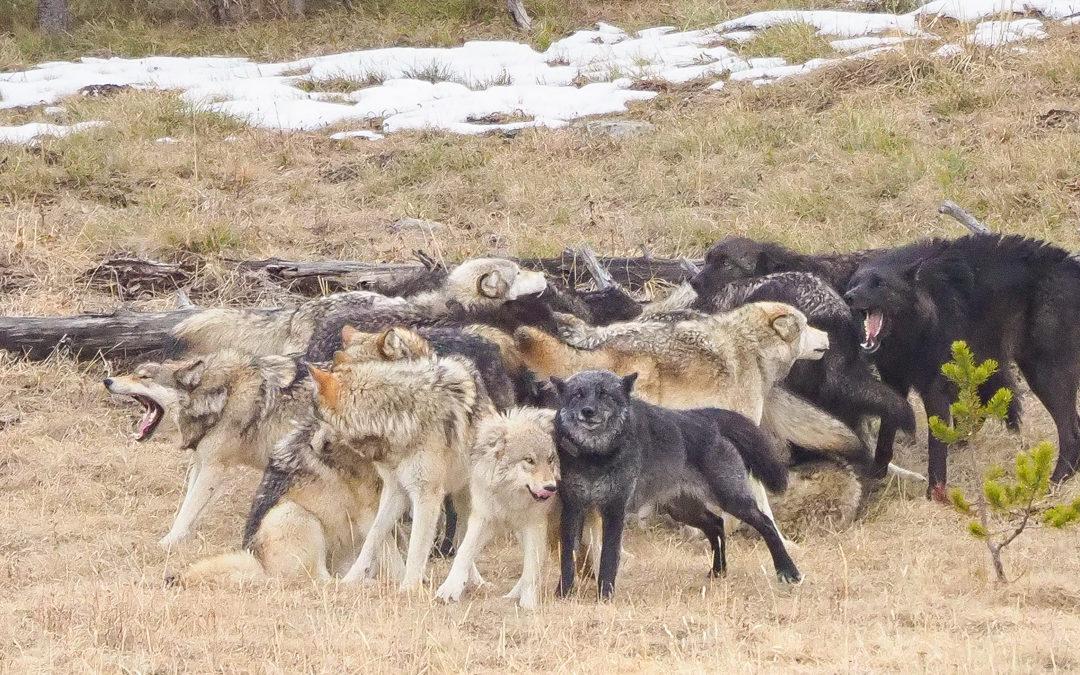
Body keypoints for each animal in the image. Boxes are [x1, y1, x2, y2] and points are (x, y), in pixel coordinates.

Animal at [308, 352, 494, 587]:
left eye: (316, 419)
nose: (310, 445)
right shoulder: (395, 490)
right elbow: (373, 536)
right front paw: (350, 579)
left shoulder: (426, 495)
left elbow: (416, 548)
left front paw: (408, 588)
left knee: (467, 540)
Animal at [552, 369, 799, 600]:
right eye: (577, 394)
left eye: (605, 394)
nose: (587, 411)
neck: (594, 457)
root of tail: (706, 418)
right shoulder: (573, 509)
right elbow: (567, 558)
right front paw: (563, 594)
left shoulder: (614, 510)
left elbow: (609, 559)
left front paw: (604, 595)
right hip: (683, 510)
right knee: (717, 524)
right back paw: (718, 571)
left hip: (732, 500)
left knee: (765, 523)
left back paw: (788, 572)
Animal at [842, 234, 1080, 492]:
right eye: (855, 283)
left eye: (879, 284)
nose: (849, 296)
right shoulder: (895, 382)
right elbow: (886, 435)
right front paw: (875, 476)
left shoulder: (934, 388)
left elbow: (936, 446)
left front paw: (935, 493)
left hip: (1043, 375)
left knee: (1070, 434)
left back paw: (1052, 483)